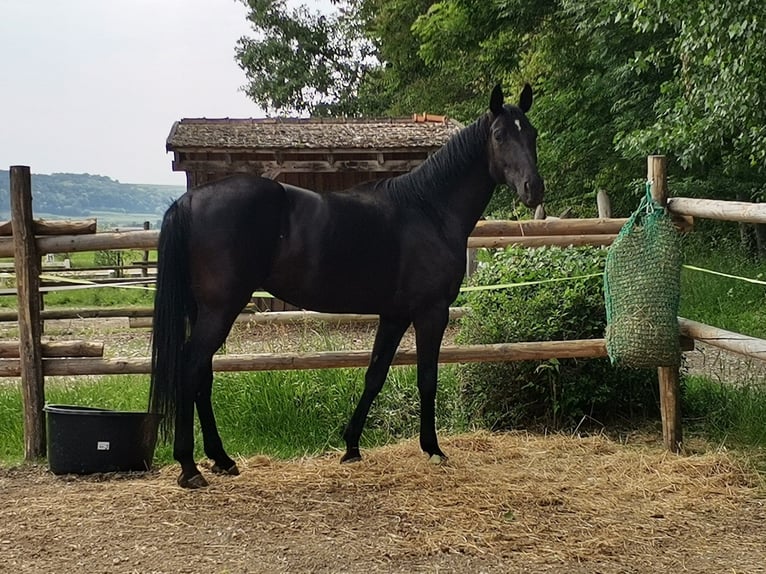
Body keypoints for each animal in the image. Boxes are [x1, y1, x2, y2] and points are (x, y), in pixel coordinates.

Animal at [150, 84, 544, 490]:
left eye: (531, 134)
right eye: (499, 135)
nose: (534, 189)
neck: (429, 210)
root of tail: (189, 200)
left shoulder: (394, 315)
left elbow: (374, 375)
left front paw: (352, 447)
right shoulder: (431, 312)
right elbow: (427, 379)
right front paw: (433, 449)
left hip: (205, 310)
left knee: (203, 373)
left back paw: (221, 459)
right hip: (221, 308)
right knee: (191, 367)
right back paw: (189, 467)